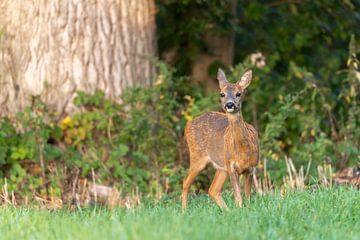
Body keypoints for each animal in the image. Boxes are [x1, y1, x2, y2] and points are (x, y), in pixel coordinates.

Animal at [183, 68, 258, 210]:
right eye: (222, 94)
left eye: (239, 93)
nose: (230, 104)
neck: (243, 151)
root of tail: (188, 124)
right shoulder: (232, 167)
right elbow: (238, 198)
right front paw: (240, 210)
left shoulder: (250, 169)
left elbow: (248, 198)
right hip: (197, 157)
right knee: (186, 182)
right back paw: (184, 211)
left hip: (221, 166)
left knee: (213, 189)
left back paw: (227, 211)